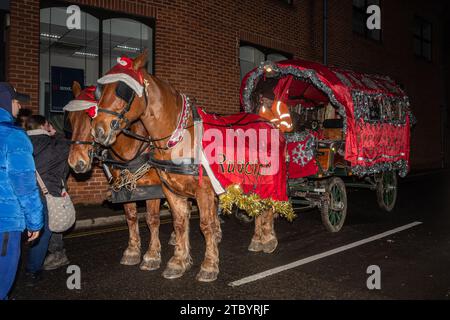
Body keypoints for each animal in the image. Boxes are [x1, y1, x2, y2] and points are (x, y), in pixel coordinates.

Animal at [66, 81, 164, 272]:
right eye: (71, 119)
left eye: (91, 118)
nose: (75, 162)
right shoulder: (124, 186)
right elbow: (131, 216)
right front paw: (132, 251)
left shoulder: (153, 188)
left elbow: (152, 219)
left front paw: (152, 254)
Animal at [91, 50, 278, 282]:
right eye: (99, 91)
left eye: (123, 90)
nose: (98, 131)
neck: (177, 136)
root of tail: (268, 122)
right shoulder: (170, 190)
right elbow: (179, 223)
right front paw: (178, 261)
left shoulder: (203, 190)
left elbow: (206, 225)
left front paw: (209, 265)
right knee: (256, 205)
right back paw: (258, 239)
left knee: (268, 205)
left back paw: (268, 239)